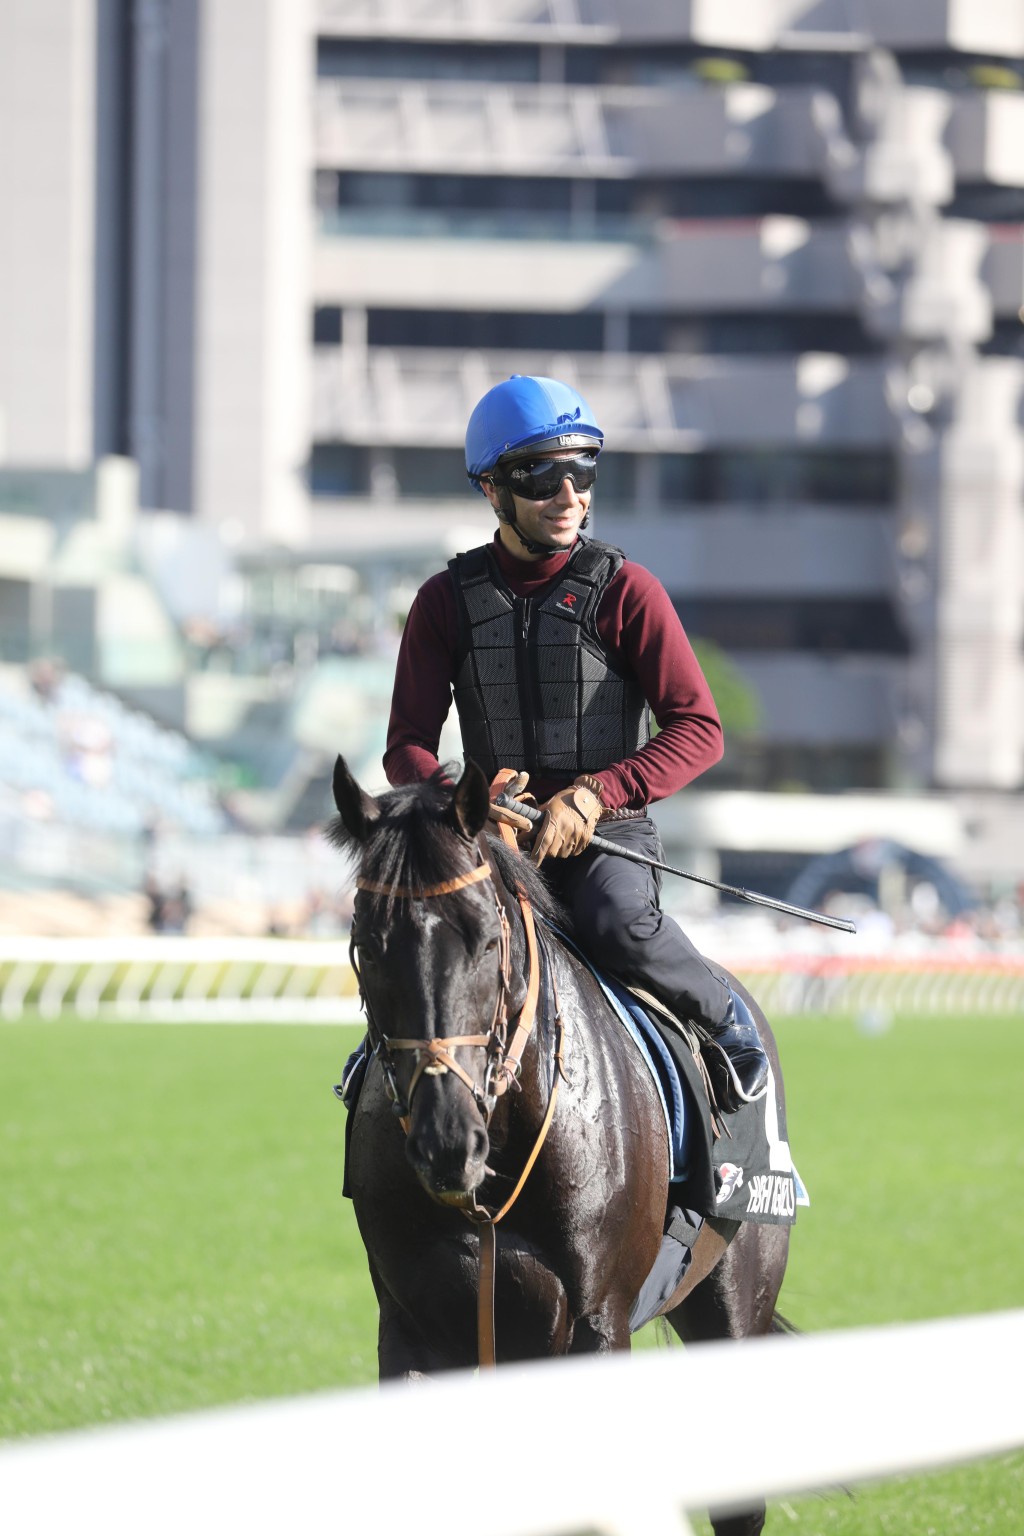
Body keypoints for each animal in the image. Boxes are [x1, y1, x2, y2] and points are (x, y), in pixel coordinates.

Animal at [328, 755, 792, 1536]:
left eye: (485, 936)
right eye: (367, 943)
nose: (446, 1141)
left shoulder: (592, 1324)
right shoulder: (416, 1328)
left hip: (734, 1303)